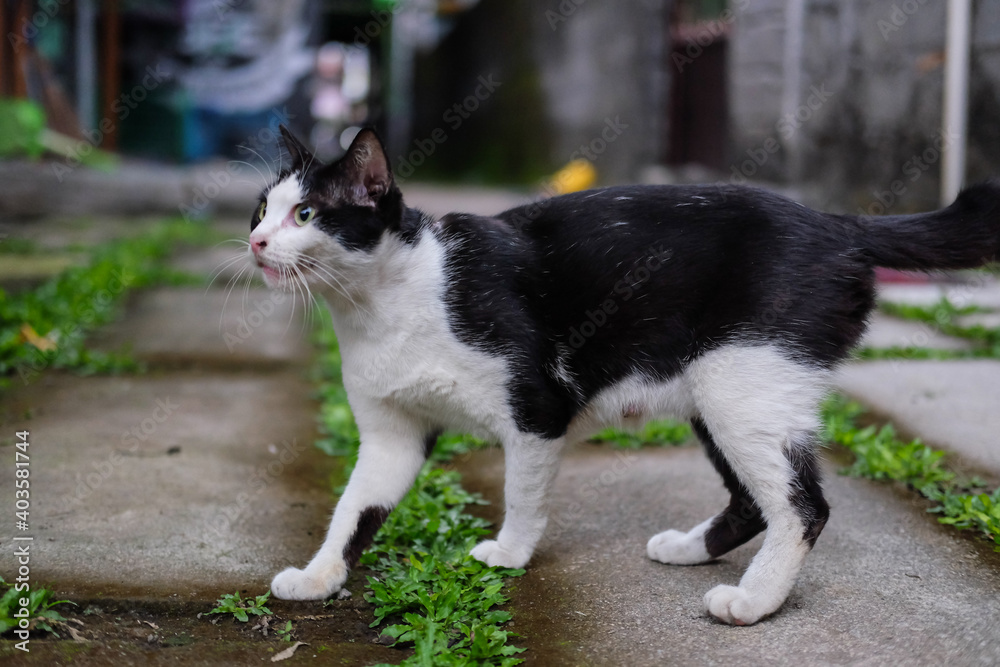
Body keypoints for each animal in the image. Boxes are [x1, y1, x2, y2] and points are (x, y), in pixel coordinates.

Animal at [252, 125, 1000, 628]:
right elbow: (354, 506)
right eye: (262, 208)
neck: (383, 304)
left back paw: (753, 602)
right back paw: (692, 550)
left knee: (802, 504)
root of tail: (838, 224)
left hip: (740, 383)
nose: (255, 241)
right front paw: (319, 577)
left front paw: (510, 553)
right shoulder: (390, 435)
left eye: (307, 214)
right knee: (754, 497)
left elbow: (523, 492)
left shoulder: (537, 409)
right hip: (719, 388)